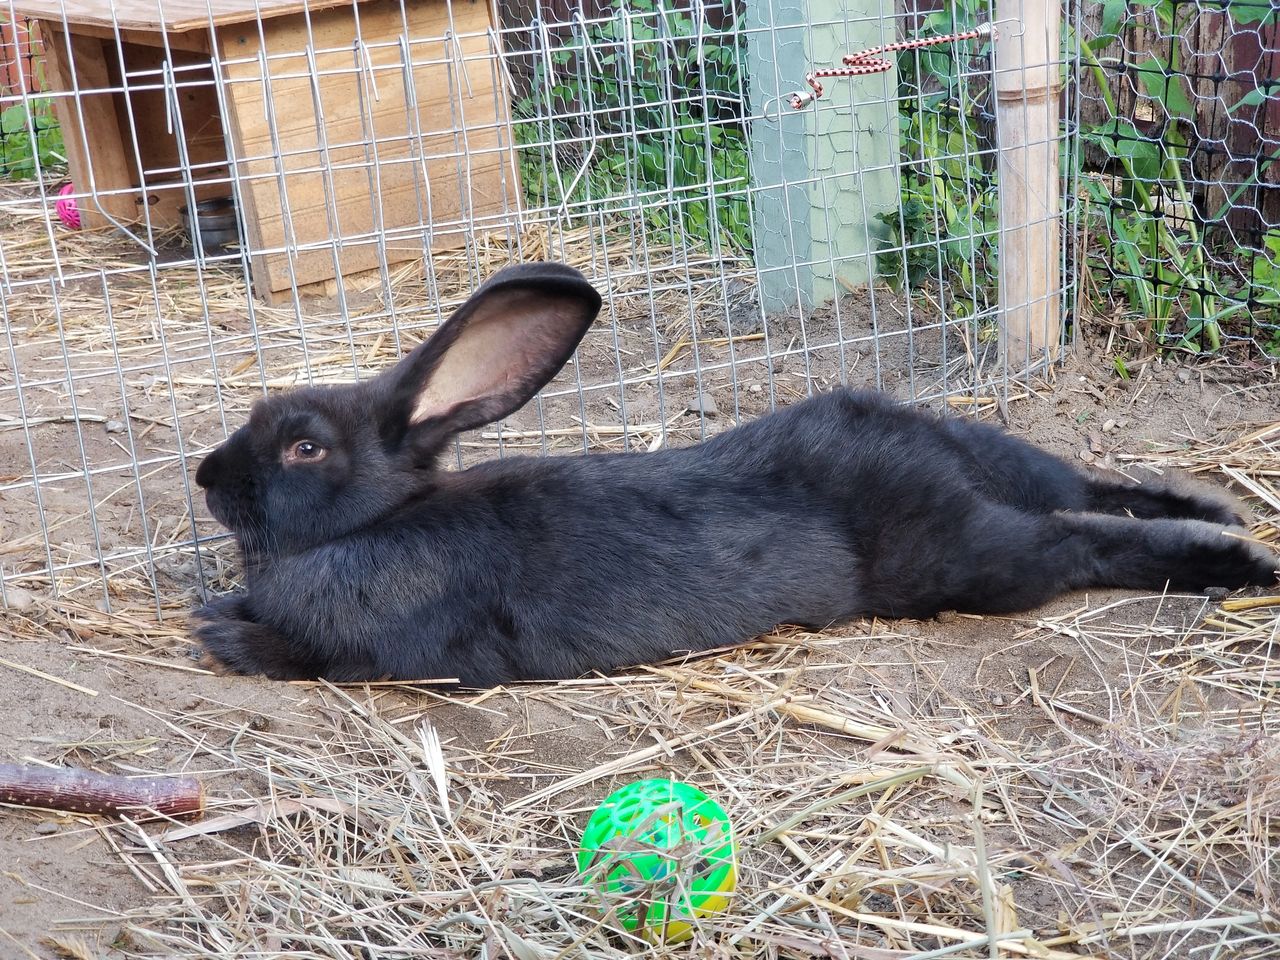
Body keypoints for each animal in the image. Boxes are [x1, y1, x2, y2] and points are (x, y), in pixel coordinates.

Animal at [192, 261, 1280, 686]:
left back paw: (1237, 564)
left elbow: (307, 655)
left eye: (303, 447)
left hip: (965, 558)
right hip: (1002, 463)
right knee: (1093, 489)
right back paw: (1222, 511)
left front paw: (224, 633)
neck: (376, 525)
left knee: (1080, 541)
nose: (205, 477)